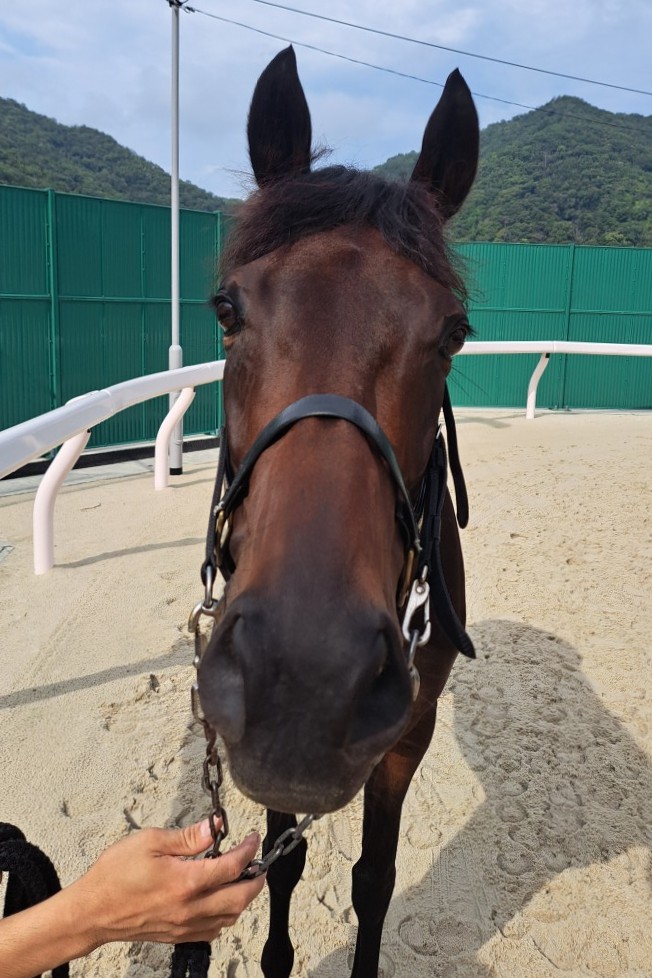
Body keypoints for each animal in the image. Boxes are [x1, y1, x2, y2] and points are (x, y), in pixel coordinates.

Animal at [196, 46, 479, 978]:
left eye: (454, 333)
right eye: (227, 308)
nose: (306, 684)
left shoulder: (407, 733)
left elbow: (374, 881)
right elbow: (282, 866)